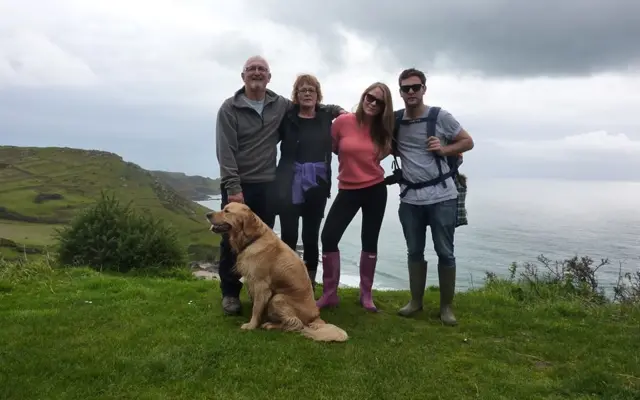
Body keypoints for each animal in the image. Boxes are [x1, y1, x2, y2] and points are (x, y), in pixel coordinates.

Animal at [205, 203, 348, 344]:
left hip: (278, 298)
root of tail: (316, 316)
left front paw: (251, 325)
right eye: (224, 208)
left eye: (227, 211)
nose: (208, 215)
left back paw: (270, 325)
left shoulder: (261, 285)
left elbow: (256, 308)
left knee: (296, 324)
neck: (255, 238)